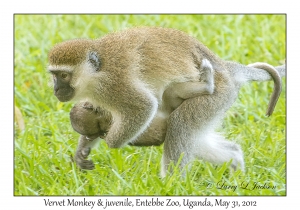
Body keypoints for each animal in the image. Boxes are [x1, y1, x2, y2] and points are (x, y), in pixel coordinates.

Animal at [48, 27, 284, 176]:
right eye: (54, 75)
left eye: (64, 75)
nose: (56, 89)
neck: (96, 73)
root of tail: (224, 68)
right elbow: (93, 111)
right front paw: (83, 148)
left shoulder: (114, 85)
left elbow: (143, 106)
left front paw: (110, 140)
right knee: (195, 137)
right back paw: (235, 161)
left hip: (218, 95)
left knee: (180, 124)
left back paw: (172, 184)